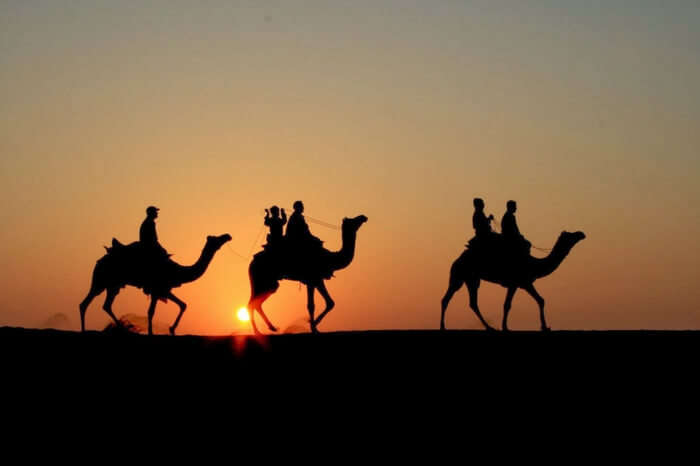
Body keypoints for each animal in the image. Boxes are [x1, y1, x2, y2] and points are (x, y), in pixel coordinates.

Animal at [79, 233, 232, 334]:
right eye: (216, 239)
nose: (227, 236)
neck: (178, 271)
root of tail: (99, 261)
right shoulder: (156, 289)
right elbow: (151, 311)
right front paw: (152, 333)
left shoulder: (164, 290)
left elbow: (183, 305)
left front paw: (172, 329)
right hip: (101, 281)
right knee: (88, 303)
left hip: (113, 284)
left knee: (103, 304)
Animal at [442, 231, 584, 330]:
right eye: (570, 235)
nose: (581, 234)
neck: (534, 265)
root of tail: (457, 259)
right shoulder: (519, 283)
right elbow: (508, 304)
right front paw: (505, 327)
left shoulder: (522, 283)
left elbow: (540, 300)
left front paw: (545, 326)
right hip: (460, 275)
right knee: (448, 298)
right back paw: (444, 326)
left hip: (471, 279)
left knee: (470, 302)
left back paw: (489, 327)